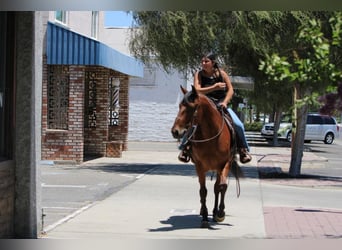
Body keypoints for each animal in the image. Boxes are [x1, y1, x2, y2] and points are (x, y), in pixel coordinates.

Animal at [170, 85, 240, 228]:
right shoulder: (199, 166)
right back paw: (205, 211)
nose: (175, 131)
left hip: (218, 168)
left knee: (217, 188)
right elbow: (203, 191)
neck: (211, 135)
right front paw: (204, 217)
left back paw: (215, 212)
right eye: (179, 106)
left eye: (192, 107)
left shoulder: (226, 163)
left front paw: (220, 213)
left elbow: (222, 187)